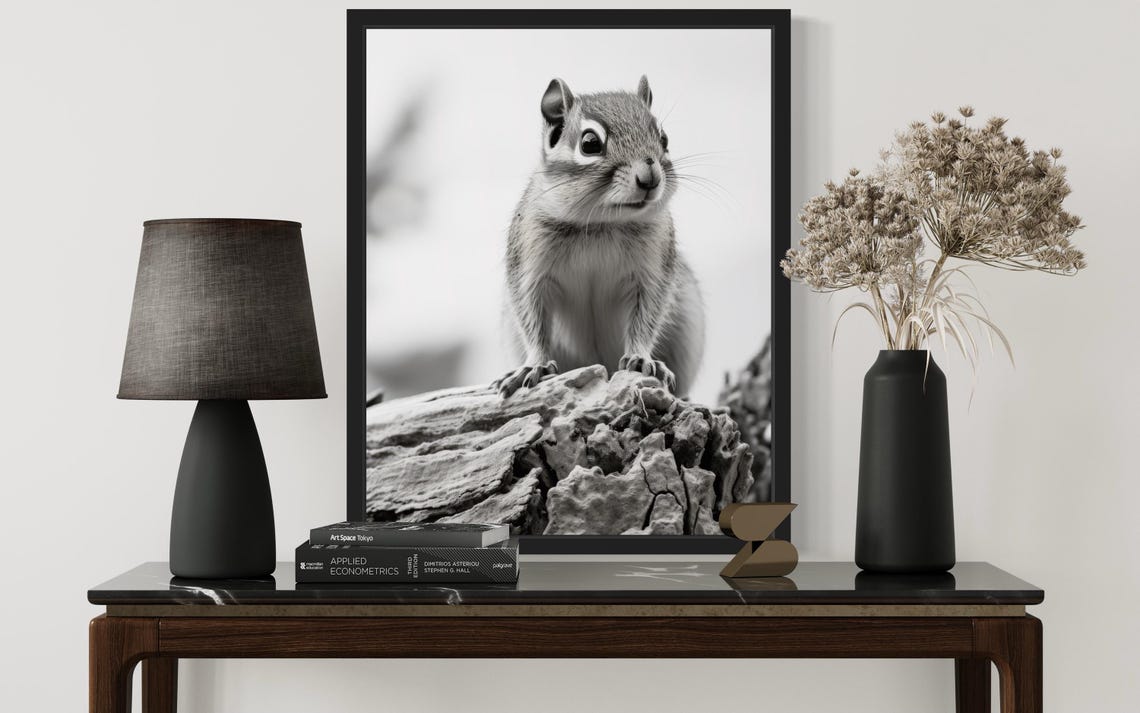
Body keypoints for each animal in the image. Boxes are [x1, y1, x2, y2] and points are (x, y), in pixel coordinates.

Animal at [493, 75, 705, 398]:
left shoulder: (654, 270)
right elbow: (532, 319)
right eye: (590, 144)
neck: (601, 224)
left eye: (664, 139)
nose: (650, 177)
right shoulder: (529, 265)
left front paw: (642, 358)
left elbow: (647, 318)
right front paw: (535, 364)